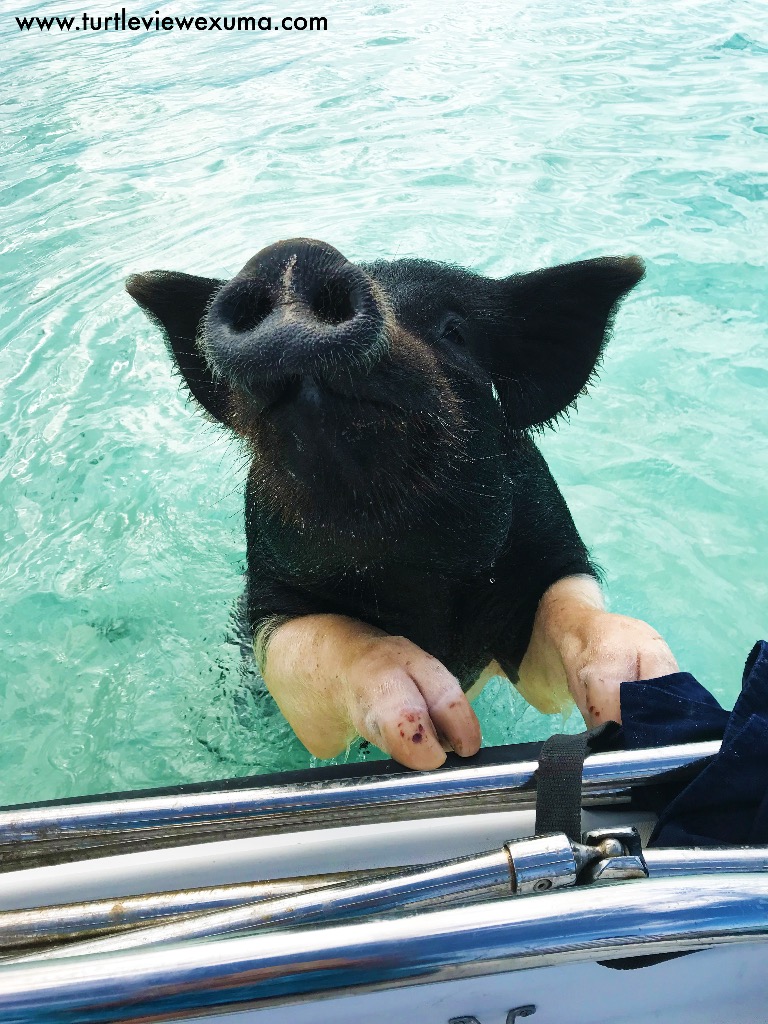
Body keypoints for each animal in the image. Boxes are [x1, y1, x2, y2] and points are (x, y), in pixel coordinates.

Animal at [126, 238, 677, 770]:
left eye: (455, 331)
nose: (291, 254)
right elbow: (321, 644)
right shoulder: (269, 600)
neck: (409, 571)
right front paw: (443, 728)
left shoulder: (549, 552)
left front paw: (647, 687)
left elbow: (567, 613)